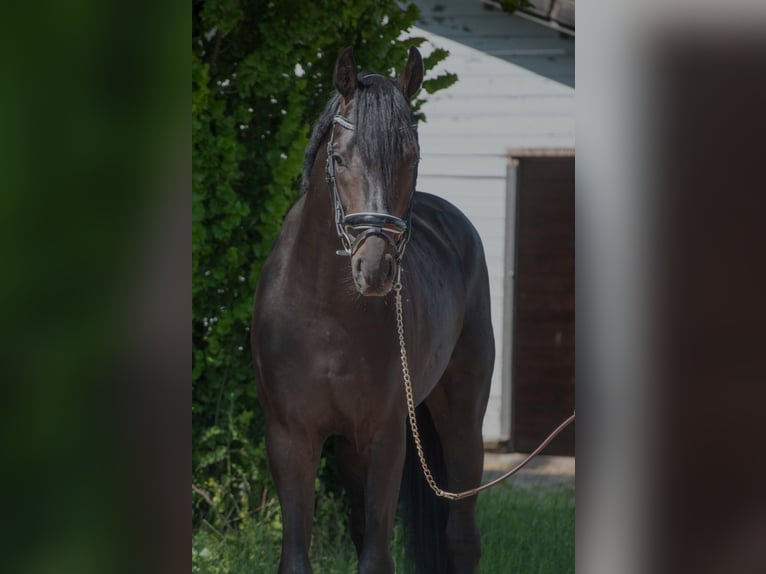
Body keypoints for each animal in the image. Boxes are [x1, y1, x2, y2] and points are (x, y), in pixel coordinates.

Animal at [249, 46, 496, 574]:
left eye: (412, 157)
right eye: (339, 157)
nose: (376, 265)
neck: (326, 314)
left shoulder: (386, 438)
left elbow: (377, 557)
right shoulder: (290, 438)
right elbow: (298, 556)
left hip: (462, 420)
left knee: (462, 538)